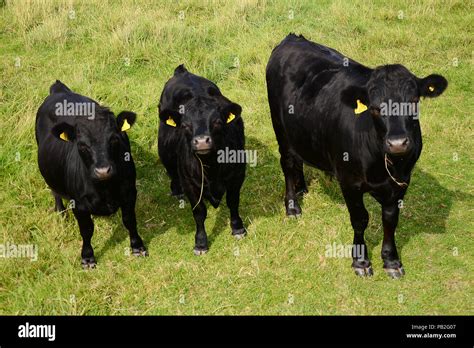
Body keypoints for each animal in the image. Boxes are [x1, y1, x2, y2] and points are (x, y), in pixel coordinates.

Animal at [35, 80, 146, 268]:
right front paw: (87, 257)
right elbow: (86, 230)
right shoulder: (79, 204)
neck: (104, 189)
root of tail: (59, 90)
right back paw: (60, 213)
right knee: (55, 191)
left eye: (114, 138)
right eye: (82, 145)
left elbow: (129, 220)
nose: (103, 171)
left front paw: (137, 246)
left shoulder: (129, 192)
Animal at [158, 65, 246, 254]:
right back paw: (176, 191)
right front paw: (200, 242)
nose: (201, 141)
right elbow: (199, 212)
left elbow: (233, 202)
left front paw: (237, 228)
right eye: (185, 125)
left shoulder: (237, 175)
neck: (211, 166)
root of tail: (183, 72)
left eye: (217, 122)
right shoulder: (190, 184)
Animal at [266, 34, 448, 278]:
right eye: (375, 108)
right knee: (287, 163)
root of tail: (293, 38)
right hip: (280, 128)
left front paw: (391, 260)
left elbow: (390, 219)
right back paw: (293, 205)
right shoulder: (349, 182)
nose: (398, 143)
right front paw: (360, 261)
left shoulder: (401, 183)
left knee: (298, 159)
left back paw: (301, 186)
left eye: (413, 101)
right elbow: (361, 219)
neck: (383, 164)